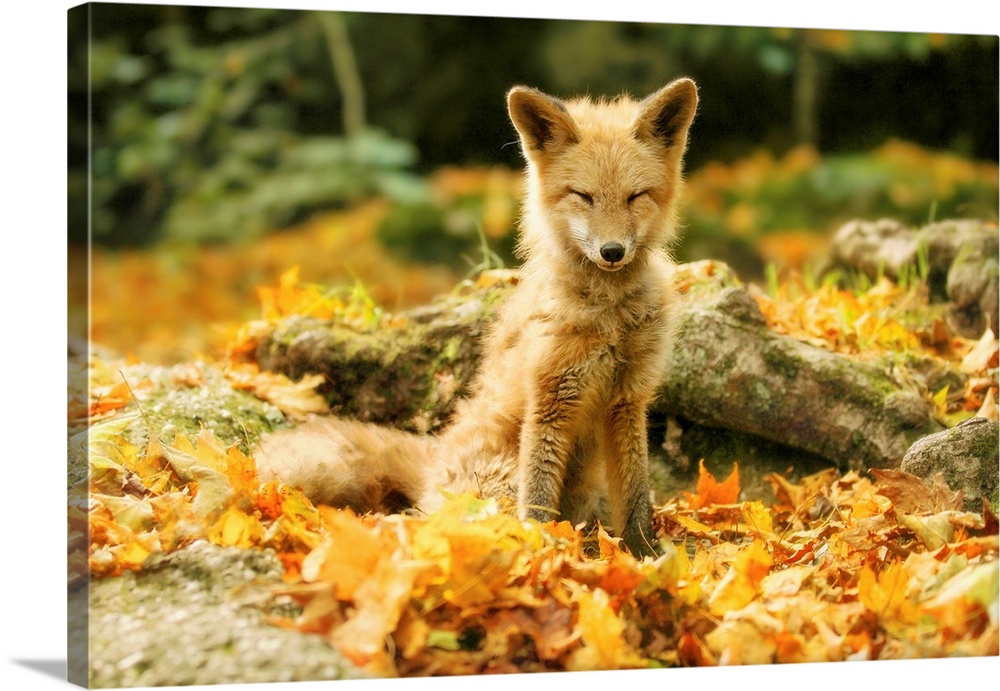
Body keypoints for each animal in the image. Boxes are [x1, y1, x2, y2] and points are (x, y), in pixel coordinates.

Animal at [254, 78, 699, 557]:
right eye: (584, 196)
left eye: (636, 197)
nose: (612, 251)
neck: (610, 316)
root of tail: (435, 457)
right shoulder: (551, 398)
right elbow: (538, 497)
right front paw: (545, 552)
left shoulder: (628, 399)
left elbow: (636, 497)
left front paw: (643, 556)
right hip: (497, 485)